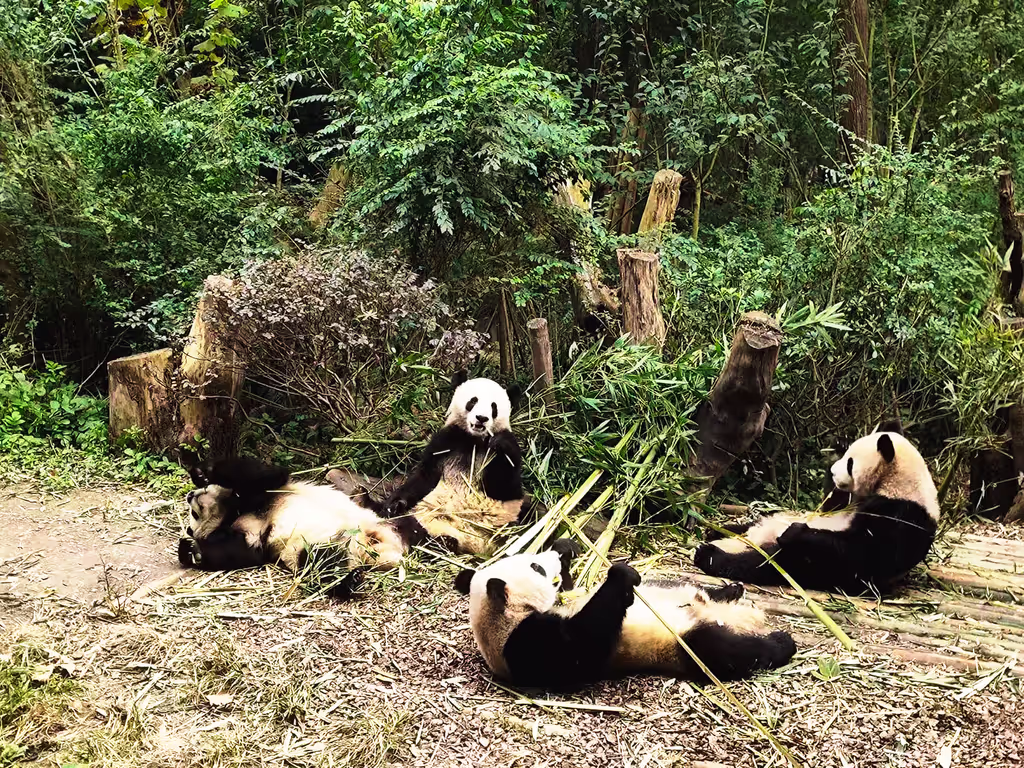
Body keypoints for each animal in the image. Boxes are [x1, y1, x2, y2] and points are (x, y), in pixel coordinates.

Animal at [177, 457, 407, 586]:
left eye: (193, 513)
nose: (190, 495)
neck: (231, 513)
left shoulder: (264, 493)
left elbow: (265, 475)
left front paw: (202, 472)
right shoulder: (251, 536)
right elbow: (238, 553)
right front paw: (191, 550)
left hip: (375, 516)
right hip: (312, 545)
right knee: (321, 561)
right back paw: (350, 579)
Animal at [377, 371, 532, 555]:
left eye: (493, 407)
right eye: (473, 401)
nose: (481, 418)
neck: (474, 440)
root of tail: (474, 545)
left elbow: (505, 485)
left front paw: (499, 443)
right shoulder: (445, 442)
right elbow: (424, 477)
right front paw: (393, 505)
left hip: (506, 525)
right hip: (429, 521)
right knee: (413, 528)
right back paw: (443, 542)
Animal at [453, 540, 796, 691]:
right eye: (536, 568)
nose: (548, 557)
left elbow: (572, 588)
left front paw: (565, 547)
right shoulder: (524, 645)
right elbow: (581, 647)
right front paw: (621, 575)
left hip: (679, 590)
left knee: (696, 590)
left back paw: (731, 591)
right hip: (679, 643)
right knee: (722, 650)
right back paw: (782, 643)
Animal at [693, 430, 939, 595]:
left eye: (850, 463)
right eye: (845, 456)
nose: (833, 471)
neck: (897, 481)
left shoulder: (902, 515)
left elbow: (863, 552)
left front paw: (795, 533)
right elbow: (830, 504)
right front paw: (836, 446)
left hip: (813, 565)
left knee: (769, 562)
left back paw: (709, 554)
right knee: (749, 528)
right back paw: (716, 531)